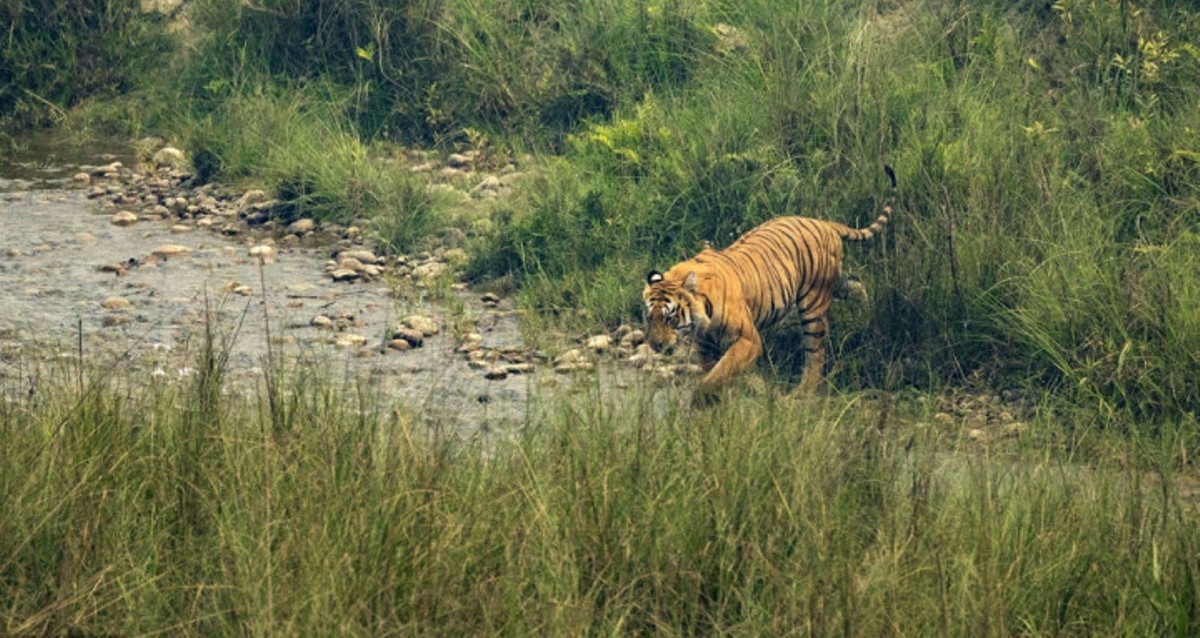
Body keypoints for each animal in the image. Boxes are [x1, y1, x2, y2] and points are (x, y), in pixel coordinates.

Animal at [648, 165, 892, 393]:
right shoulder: (705, 345)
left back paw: (804, 390)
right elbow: (714, 371)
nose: (656, 346)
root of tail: (825, 223)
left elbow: (721, 371)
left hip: (812, 305)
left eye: (670, 318)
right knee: (857, 284)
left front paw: (704, 396)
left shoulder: (748, 340)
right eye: (650, 318)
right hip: (833, 282)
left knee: (816, 353)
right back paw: (866, 313)